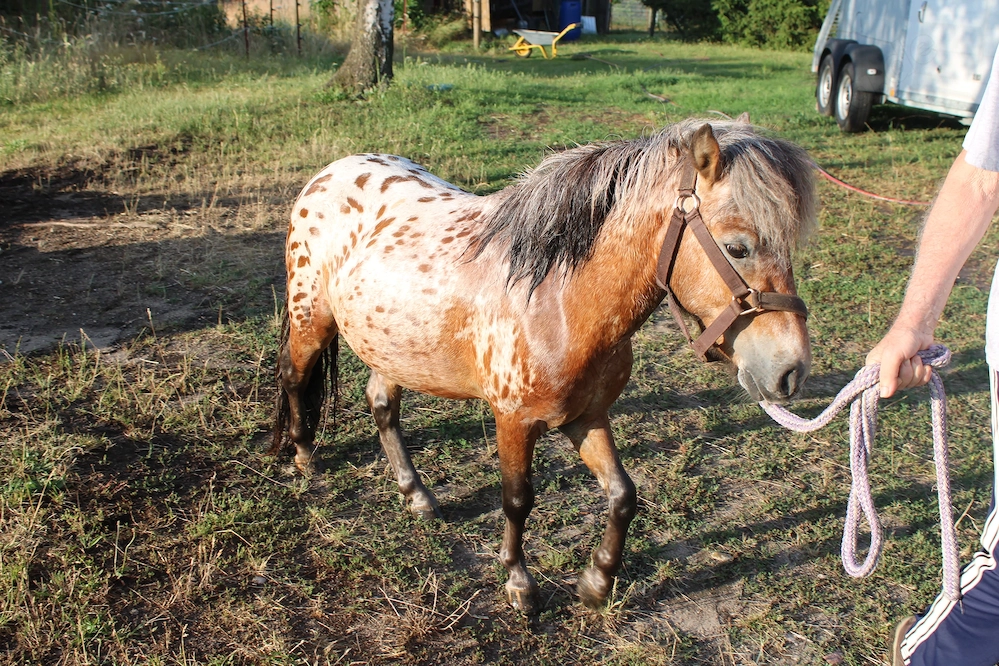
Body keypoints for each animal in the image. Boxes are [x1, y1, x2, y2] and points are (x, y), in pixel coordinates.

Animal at [271, 118, 817, 613]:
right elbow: (517, 500)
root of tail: (329, 173)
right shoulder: (514, 420)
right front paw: (519, 584)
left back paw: (417, 495)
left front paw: (596, 584)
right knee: (295, 377)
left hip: (391, 345)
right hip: (311, 320)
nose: (790, 372)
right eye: (738, 247)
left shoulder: (587, 416)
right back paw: (304, 457)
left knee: (383, 405)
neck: (556, 298)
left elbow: (623, 495)